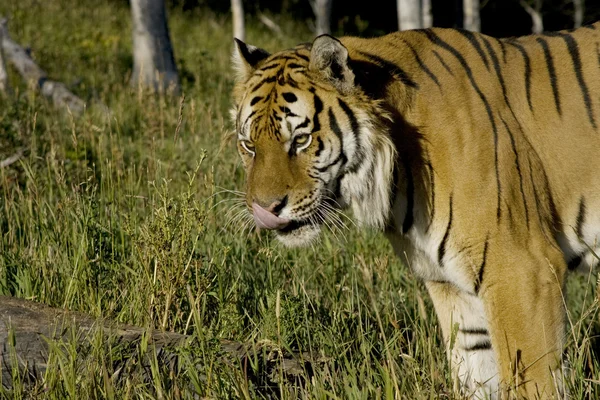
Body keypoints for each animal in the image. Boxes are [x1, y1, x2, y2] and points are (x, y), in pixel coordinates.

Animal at [230, 22, 600, 400]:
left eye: (301, 140)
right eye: (249, 145)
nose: (265, 209)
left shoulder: (522, 271)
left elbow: (533, 381)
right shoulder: (450, 284)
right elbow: (475, 373)